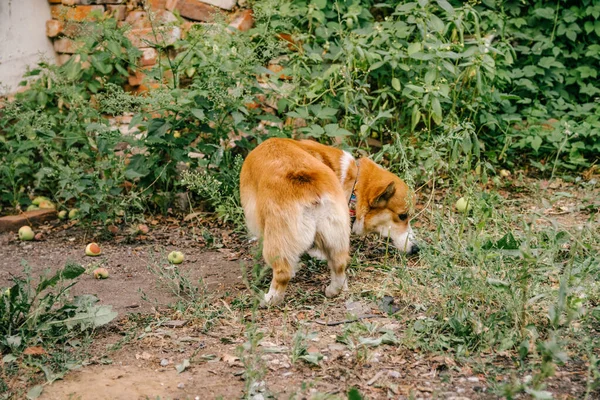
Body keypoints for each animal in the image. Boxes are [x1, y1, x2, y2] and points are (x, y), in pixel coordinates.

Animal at [239, 139, 418, 304]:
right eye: (403, 216)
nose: (416, 249)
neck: (354, 186)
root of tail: (311, 187)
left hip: (277, 237)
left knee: (283, 273)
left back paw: (269, 299)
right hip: (336, 236)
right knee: (339, 265)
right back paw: (335, 289)